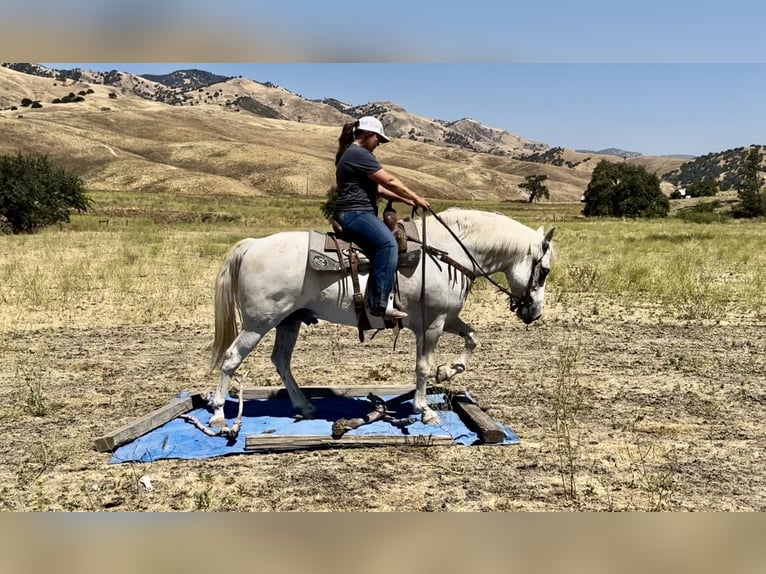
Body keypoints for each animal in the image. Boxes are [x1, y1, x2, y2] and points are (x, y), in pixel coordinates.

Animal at [208, 208, 555, 431]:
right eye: (545, 271)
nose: (534, 312)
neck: (447, 254)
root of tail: (253, 245)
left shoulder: (447, 318)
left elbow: (473, 339)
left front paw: (447, 372)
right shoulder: (432, 325)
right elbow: (422, 366)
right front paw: (425, 410)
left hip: (288, 321)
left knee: (280, 360)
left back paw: (304, 406)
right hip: (258, 323)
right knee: (231, 358)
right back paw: (218, 415)